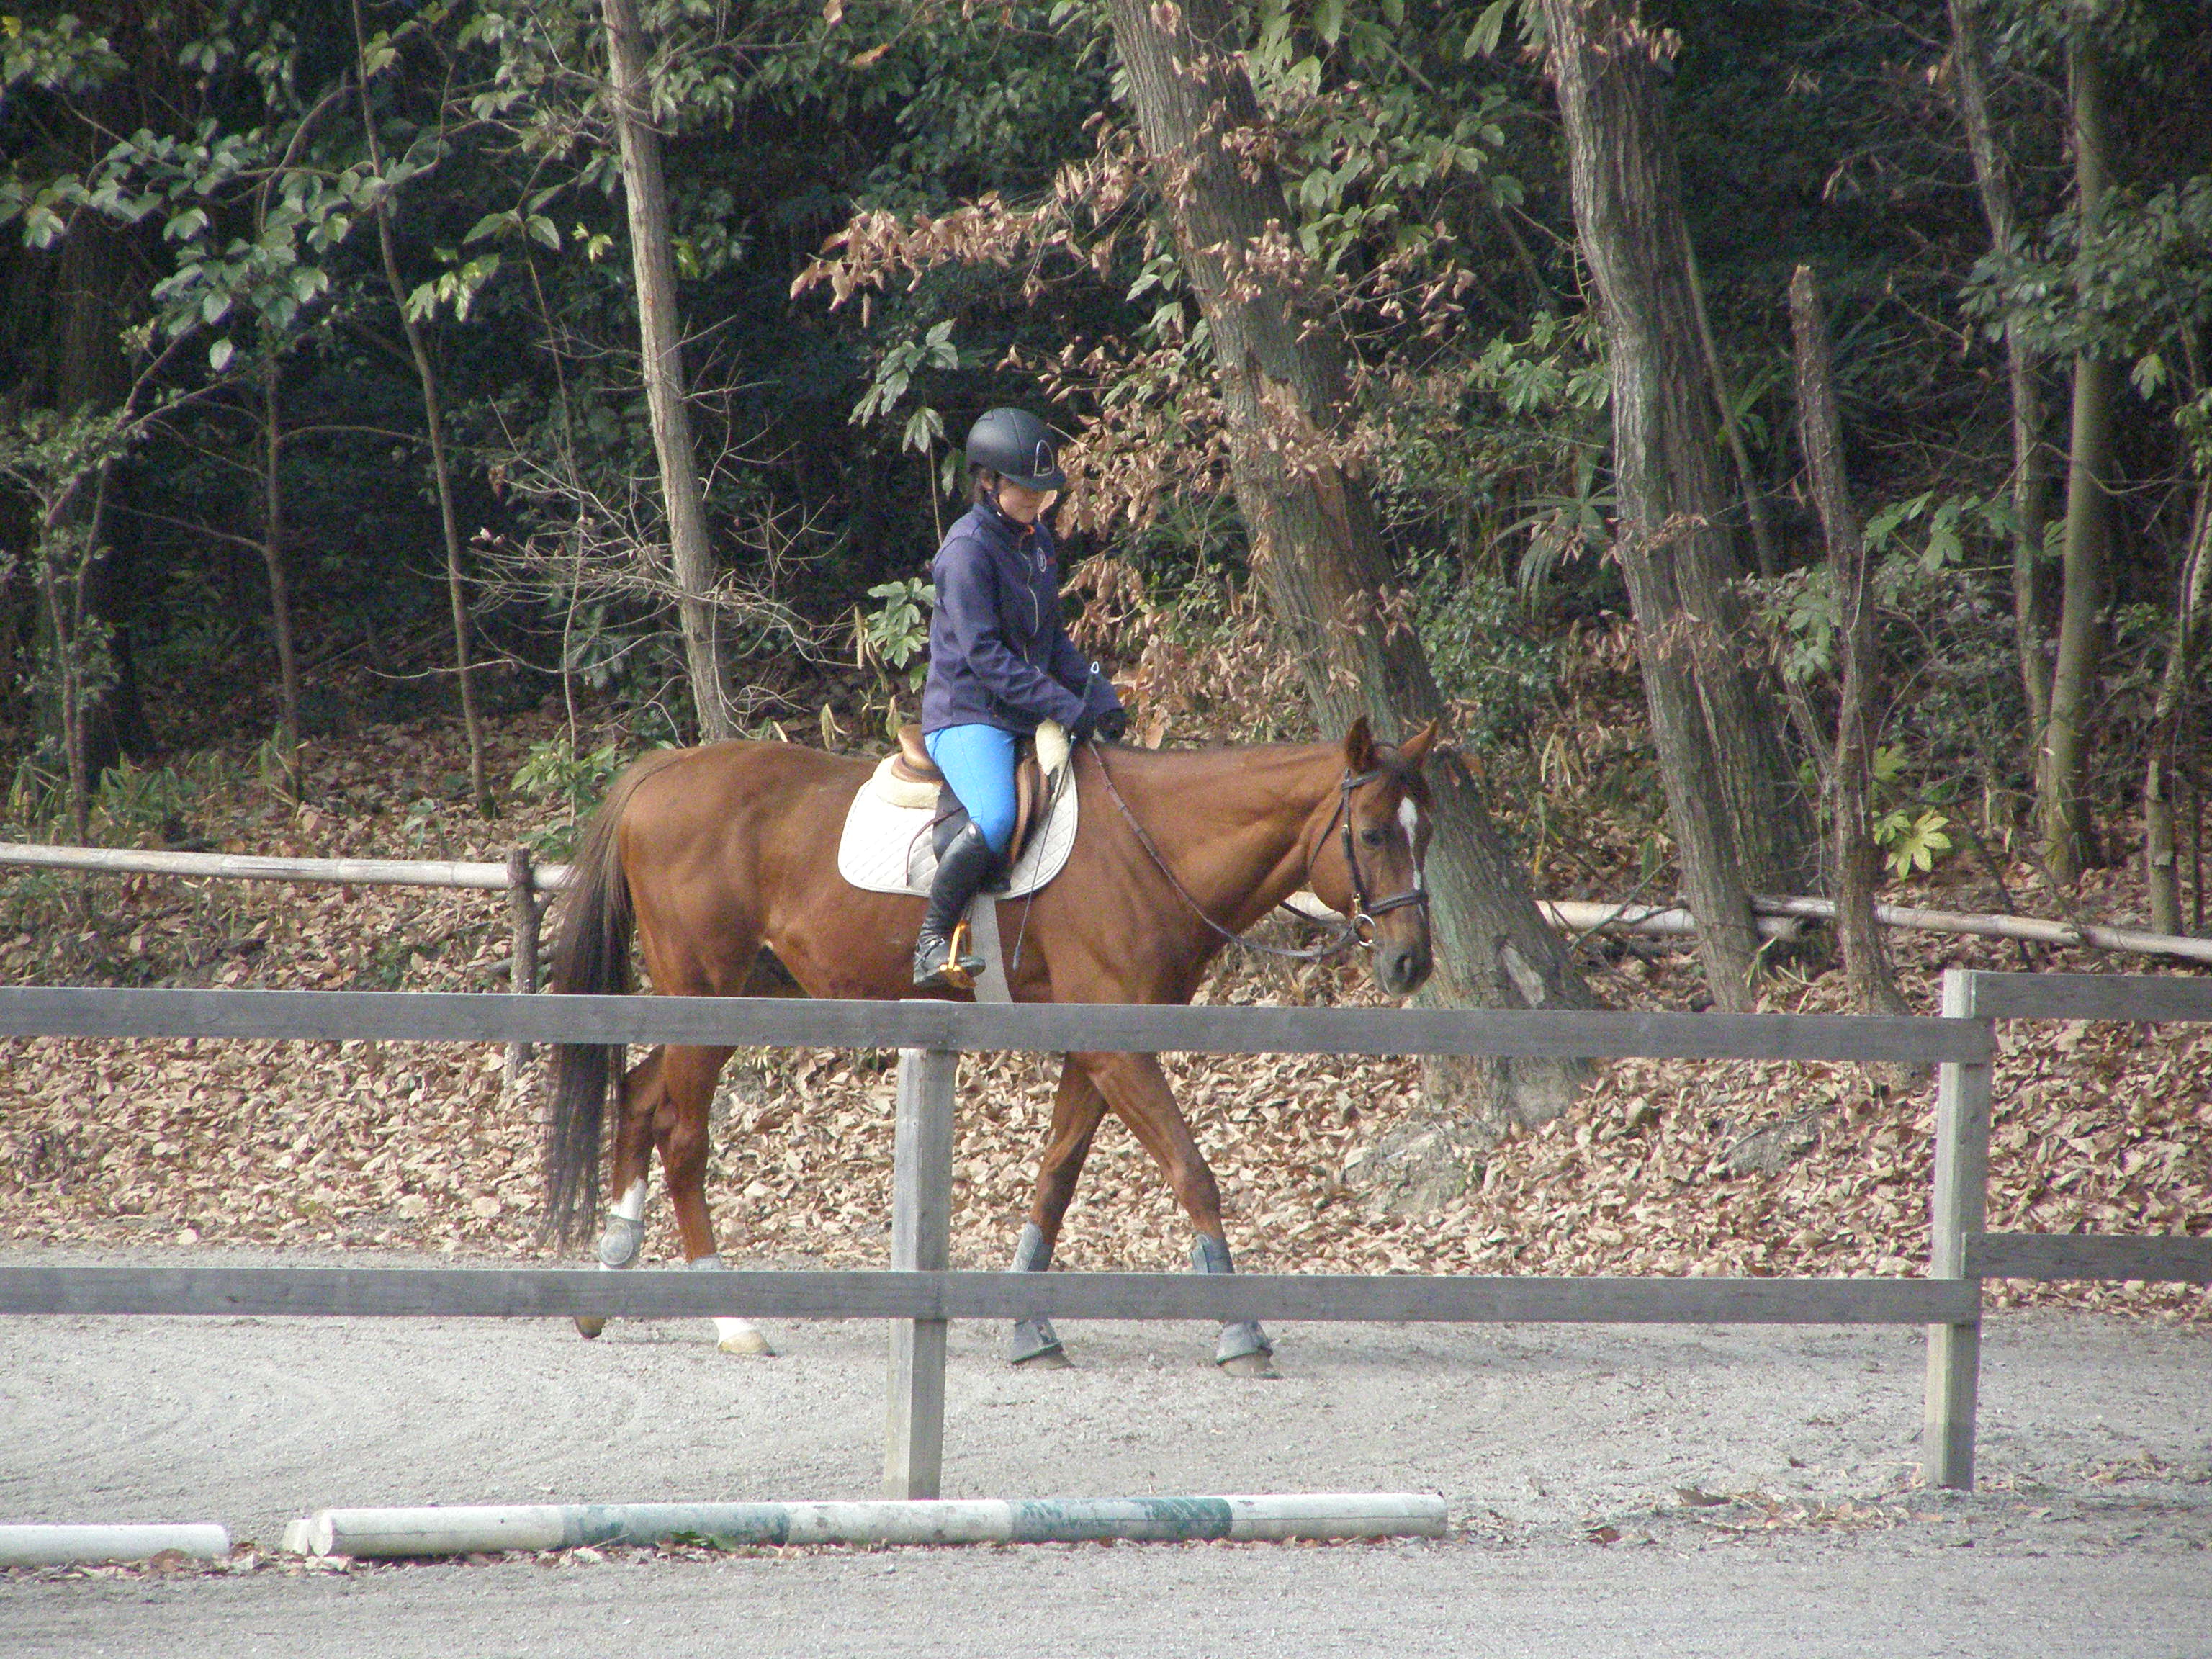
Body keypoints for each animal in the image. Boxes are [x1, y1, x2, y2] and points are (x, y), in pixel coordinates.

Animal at [545, 715, 1440, 1374]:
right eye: (1371, 833)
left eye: (1423, 832)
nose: (1412, 962)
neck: (1152, 844)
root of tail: (665, 771)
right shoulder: (1117, 1051)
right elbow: (1192, 1171)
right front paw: (1239, 1332)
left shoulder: (1094, 1050)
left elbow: (1055, 1181)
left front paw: (1030, 1329)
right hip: (707, 995)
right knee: (684, 1136)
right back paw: (732, 1319)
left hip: (743, 998)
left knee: (640, 1094)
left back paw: (606, 1283)